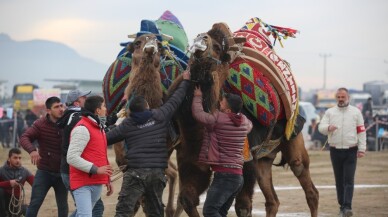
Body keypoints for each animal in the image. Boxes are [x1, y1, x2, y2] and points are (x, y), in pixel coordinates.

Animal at [167, 19, 318, 217]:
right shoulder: (191, 161)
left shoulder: (245, 161)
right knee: (273, 200)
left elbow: (243, 206)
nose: (201, 38)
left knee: (307, 183)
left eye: (218, 47)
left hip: (292, 136)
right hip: (264, 159)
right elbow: (187, 199)